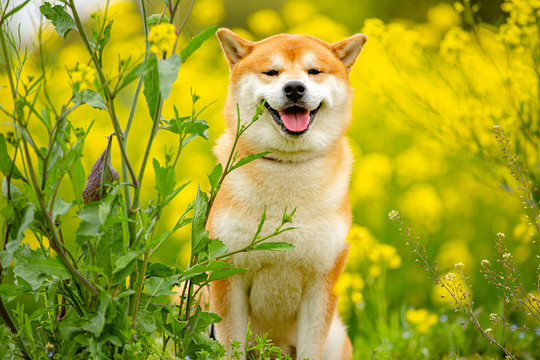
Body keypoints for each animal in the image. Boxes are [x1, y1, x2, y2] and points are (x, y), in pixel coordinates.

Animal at [207, 28, 368, 360]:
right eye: (272, 72)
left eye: (314, 71)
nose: (294, 87)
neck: (287, 167)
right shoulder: (227, 278)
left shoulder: (322, 286)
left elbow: (311, 349)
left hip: (336, 337)